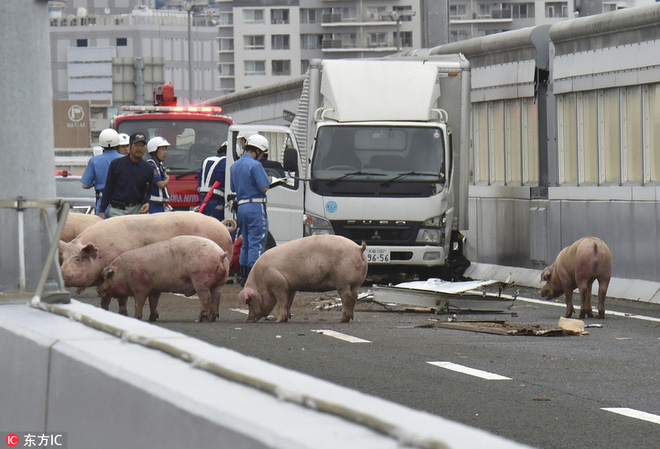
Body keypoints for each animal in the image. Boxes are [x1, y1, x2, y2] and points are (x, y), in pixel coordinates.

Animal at [95, 234, 229, 322]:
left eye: (106, 277)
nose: (98, 288)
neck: (123, 272)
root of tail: (220, 254)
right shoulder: (155, 289)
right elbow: (153, 302)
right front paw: (152, 318)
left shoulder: (139, 287)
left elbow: (139, 303)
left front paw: (136, 317)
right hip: (220, 282)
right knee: (217, 296)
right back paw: (212, 318)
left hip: (200, 280)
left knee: (206, 297)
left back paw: (198, 319)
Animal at [238, 234, 372, 322]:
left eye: (249, 301)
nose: (249, 319)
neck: (261, 282)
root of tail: (359, 249)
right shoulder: (290, 287)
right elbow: (289, 302)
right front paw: (287, 318)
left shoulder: (278, 284)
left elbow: (281, 302)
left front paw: (278, 320)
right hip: (356, 283)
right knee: (354, 297)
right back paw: (350, 318)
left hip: (343, 282)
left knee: (347, 297)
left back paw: (342, 319)